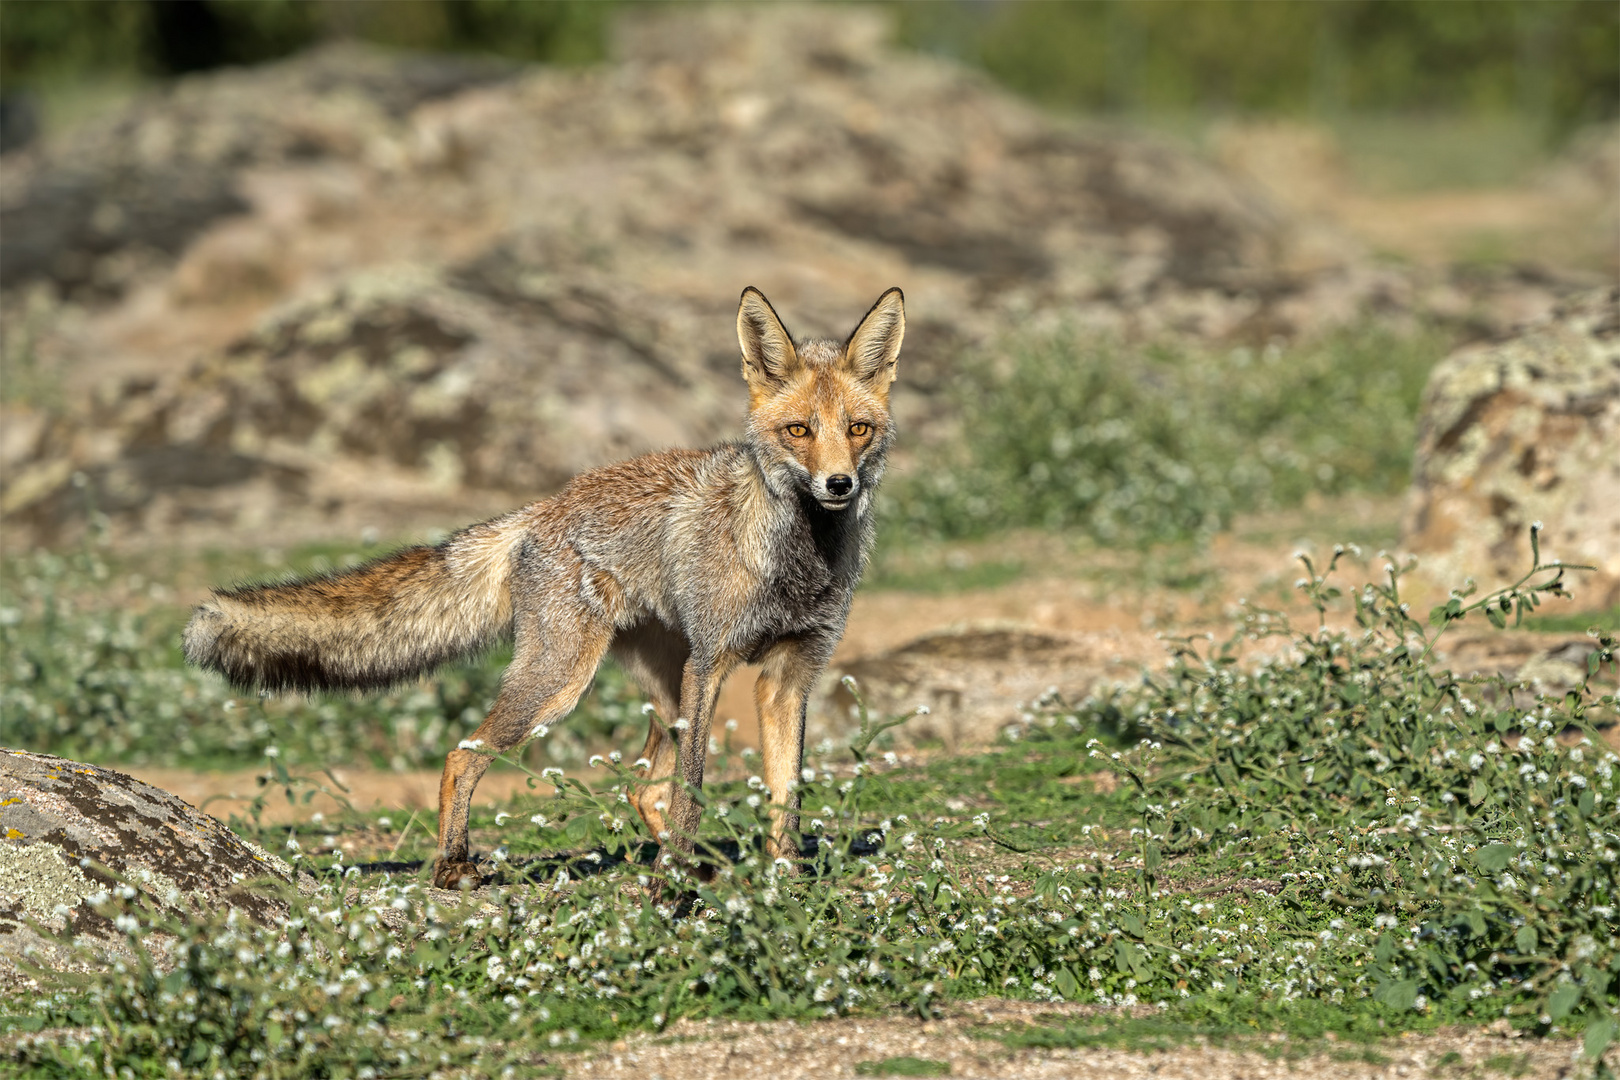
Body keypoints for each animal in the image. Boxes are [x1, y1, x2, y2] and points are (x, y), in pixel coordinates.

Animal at [186, 283, 913, 893]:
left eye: (858, 429)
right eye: (798, 431)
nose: (839, 485)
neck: (796, 567)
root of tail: (544, 506)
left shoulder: (790, 674)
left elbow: (786, 795)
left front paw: (785, 881)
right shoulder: (712, 663)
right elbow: (692, 791)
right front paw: (675, 891)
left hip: (660, 688)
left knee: (640, 791)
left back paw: (697, 869)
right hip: (566, 682)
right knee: (462, 756)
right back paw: (455, 867)